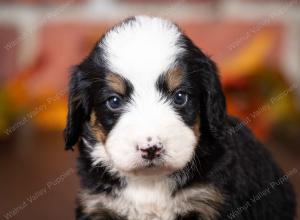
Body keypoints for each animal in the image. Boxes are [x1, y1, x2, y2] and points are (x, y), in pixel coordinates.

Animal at [63, 15, 296, 220]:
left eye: (180, 97)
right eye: (113, 101)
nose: (151, 148)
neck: (150, 183)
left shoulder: (209, 202)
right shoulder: (98, 205)